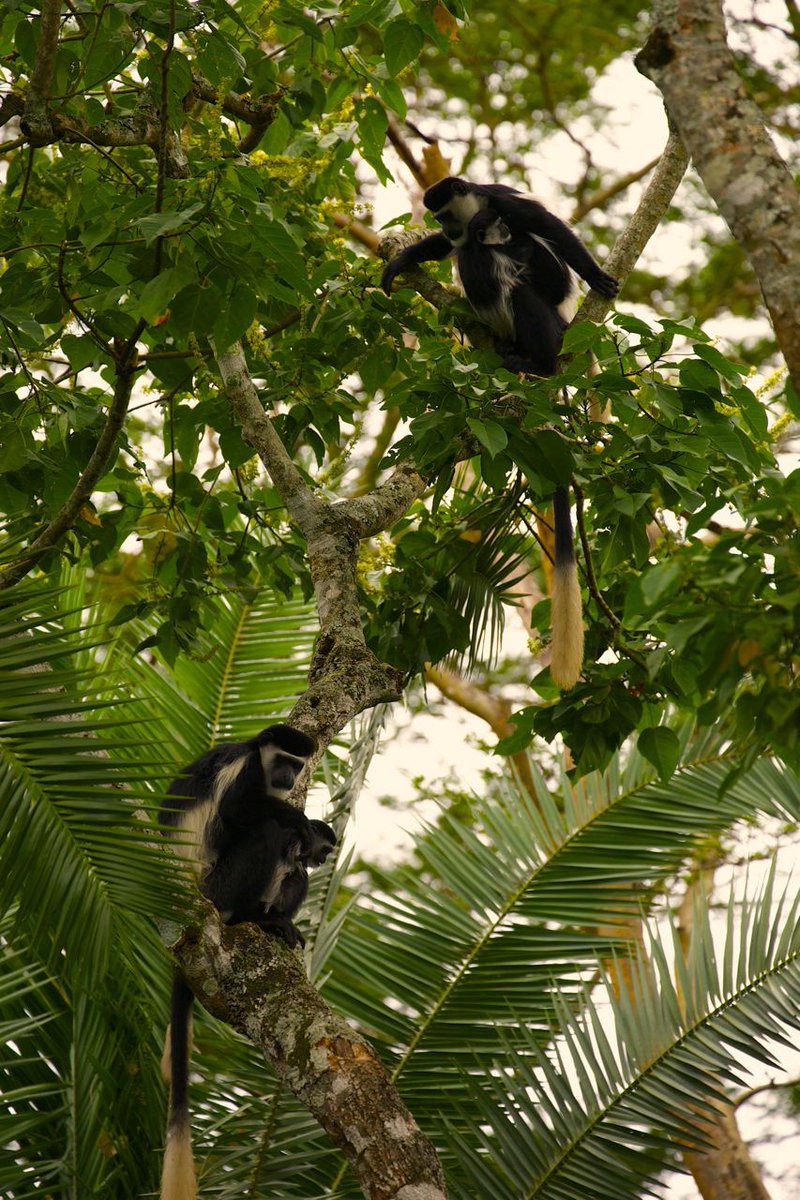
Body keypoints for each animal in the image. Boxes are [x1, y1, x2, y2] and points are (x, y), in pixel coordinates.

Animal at [158, 724, 334, 1200]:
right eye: (284, 763)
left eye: (296, 765)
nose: (289, 781)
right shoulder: (249, 771)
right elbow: (240, 811)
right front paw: (298, 819)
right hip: (219, 884)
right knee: (266, 832)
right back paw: (250, 915)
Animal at [381, 177, 619, 688]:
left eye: (444, 213)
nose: (448, 227)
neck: (478, 211)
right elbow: (448, 251)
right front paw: (402, 261)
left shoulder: (504, 204)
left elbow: (548, 229)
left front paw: (595, 276)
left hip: (545, 320)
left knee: (515, 275)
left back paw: (534, 359)